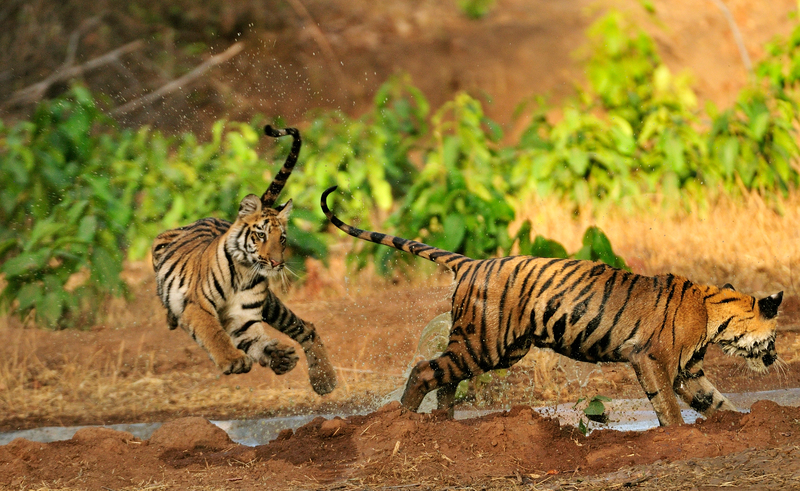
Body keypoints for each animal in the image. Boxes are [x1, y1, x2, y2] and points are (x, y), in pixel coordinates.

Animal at [152, 126, 336, 396]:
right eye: (261, 235)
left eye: (282, 239)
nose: (275, 263)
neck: (244, 271)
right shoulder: (198, 305)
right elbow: (214, 333)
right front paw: (233, 360)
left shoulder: (243, 316)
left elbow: (247, 335)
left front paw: (275, 356)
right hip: (161, 242)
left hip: (271, 306)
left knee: (307, 328)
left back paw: (322, 379)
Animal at [320, 186, 780, 424]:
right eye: (774, 337)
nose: (776, 357)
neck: (715, 316)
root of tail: (471, 262)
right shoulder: (651, 359)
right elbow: (666, 403)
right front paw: (679, 434)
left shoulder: (689, 371)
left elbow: (714, 400)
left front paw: (743, 421)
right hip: (484, 343)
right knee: (425, 370)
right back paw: (404, 420)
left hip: (495, 349)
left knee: (446, 376)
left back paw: (443, 423)